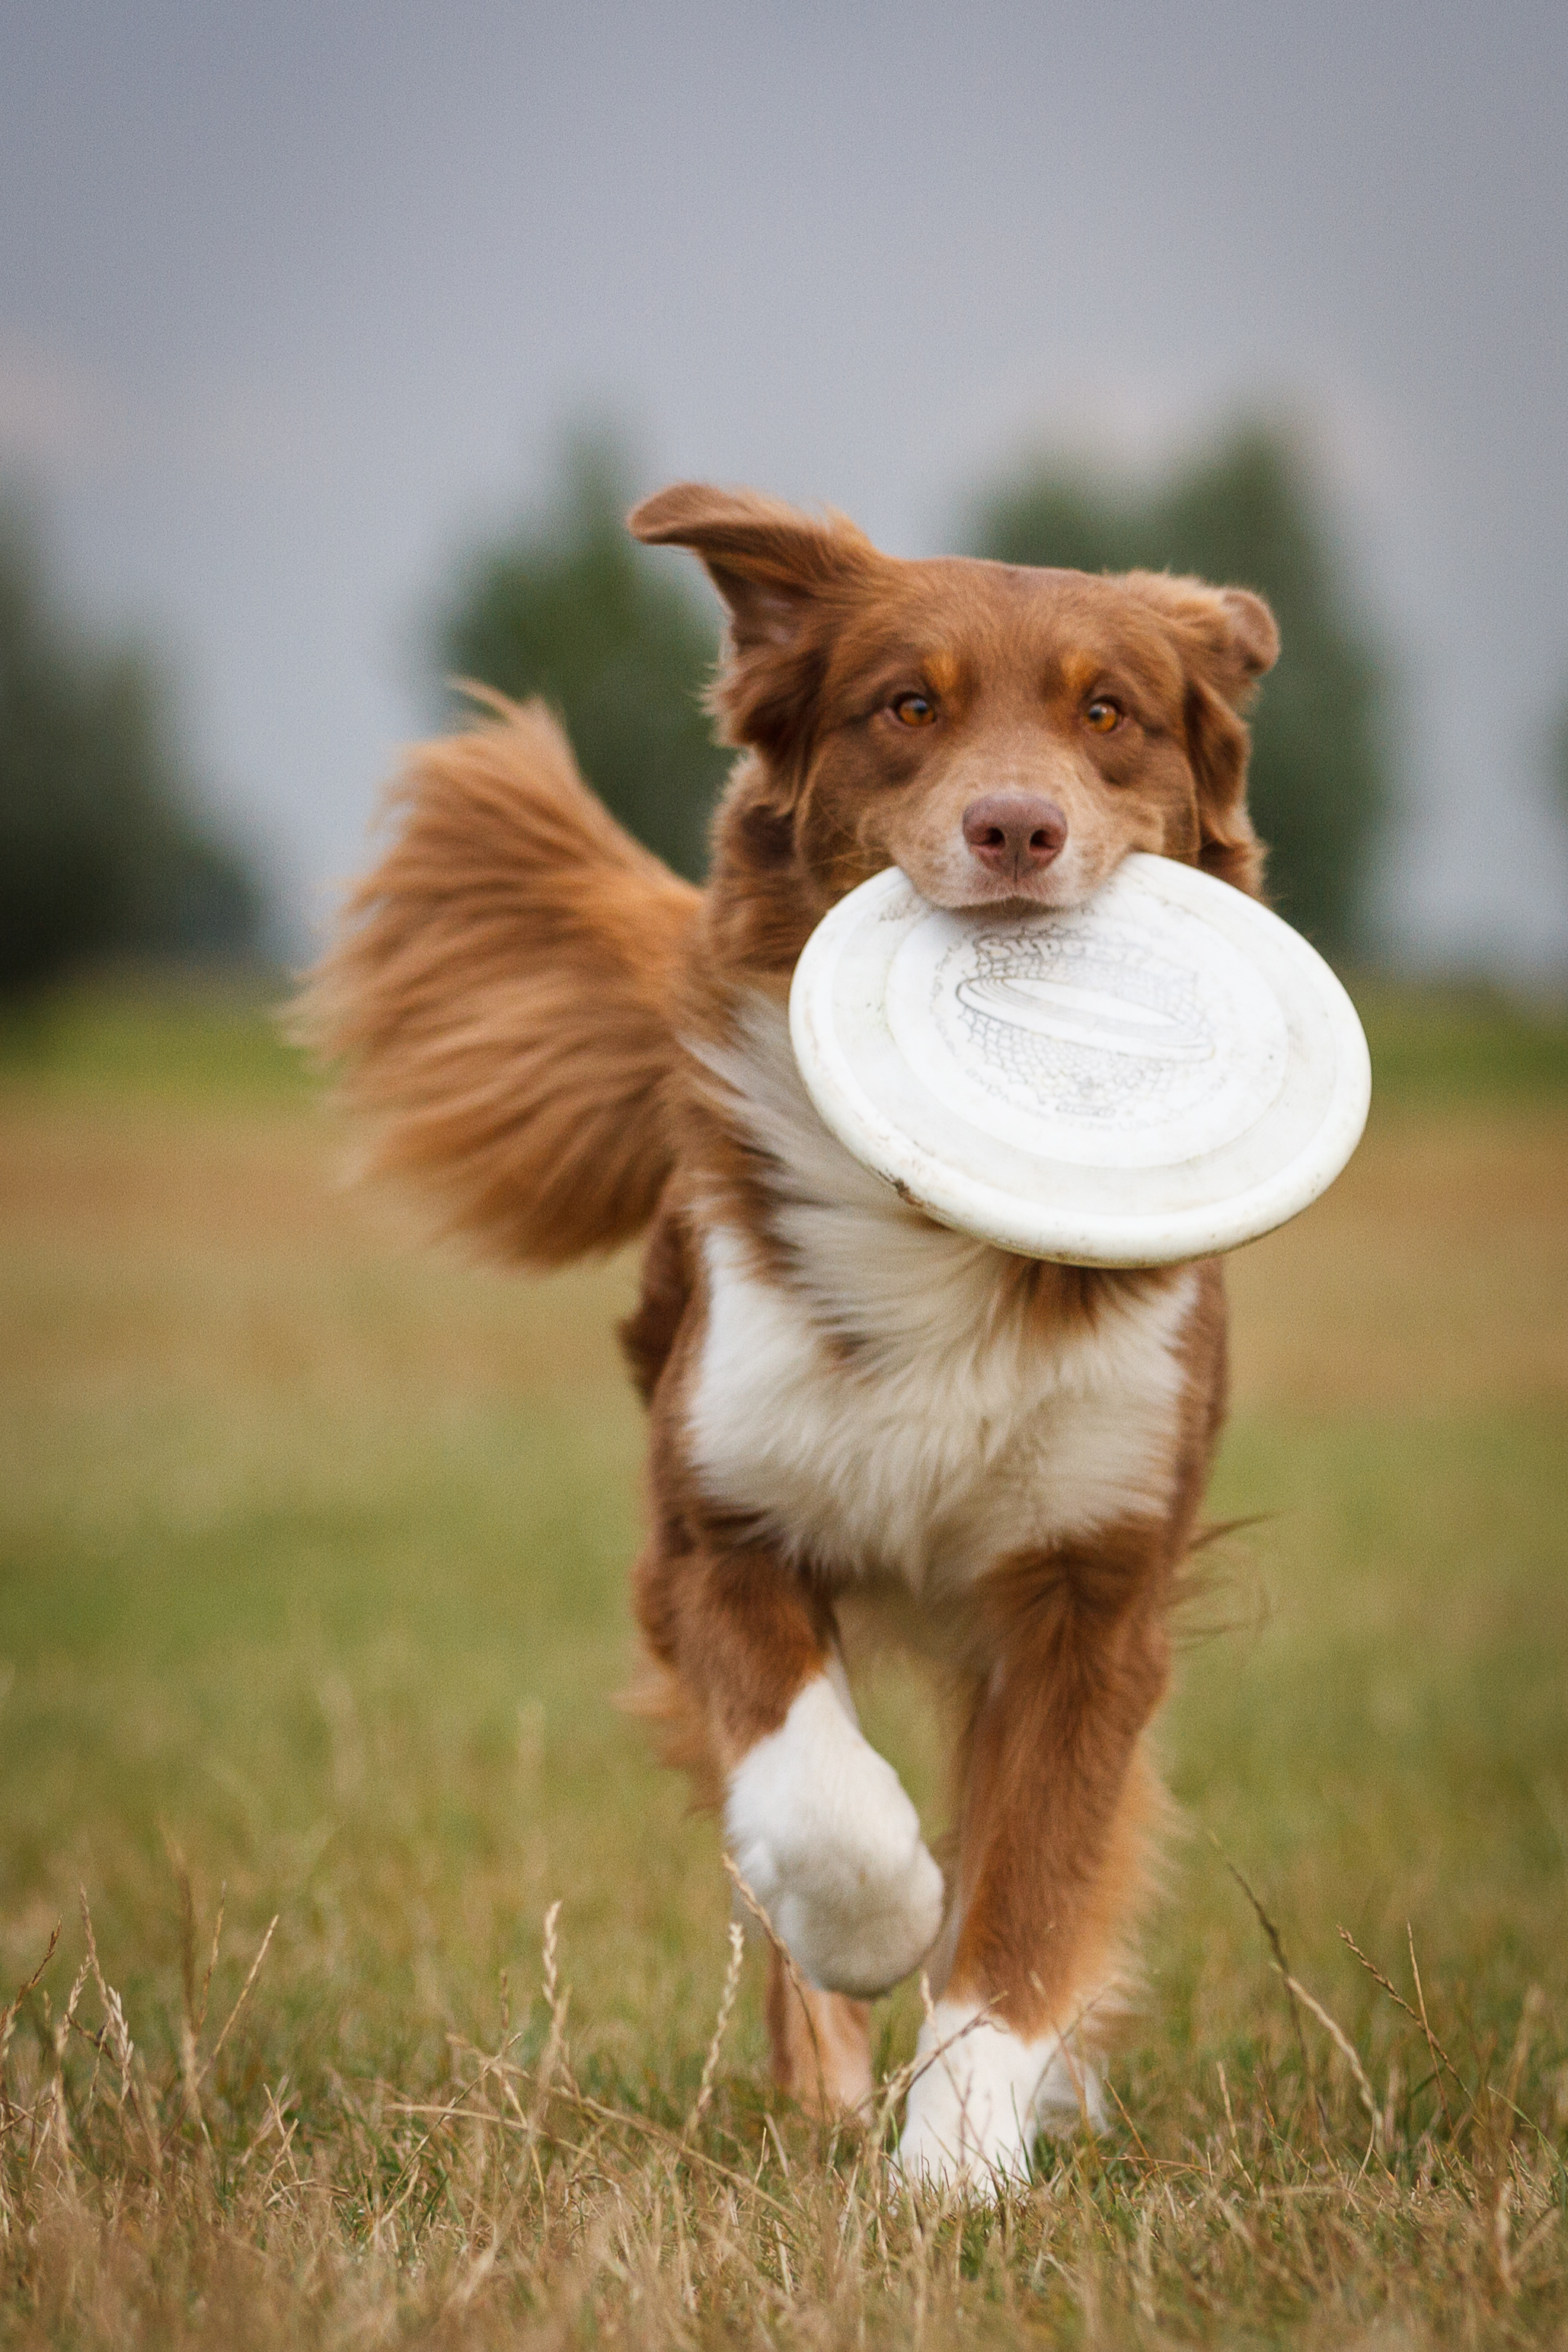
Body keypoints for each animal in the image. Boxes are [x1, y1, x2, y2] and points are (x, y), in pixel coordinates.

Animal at [305, 487, 1279, 2192]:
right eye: (906, 706)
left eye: (1107, 714)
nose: (1014, 828)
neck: (946, 1235)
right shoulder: (716, 1526)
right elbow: (816, 1803)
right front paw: (875, 1930)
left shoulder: (1093, 1595)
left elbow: (1026, 1895)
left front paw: (959, 2158)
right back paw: (824, 2061)